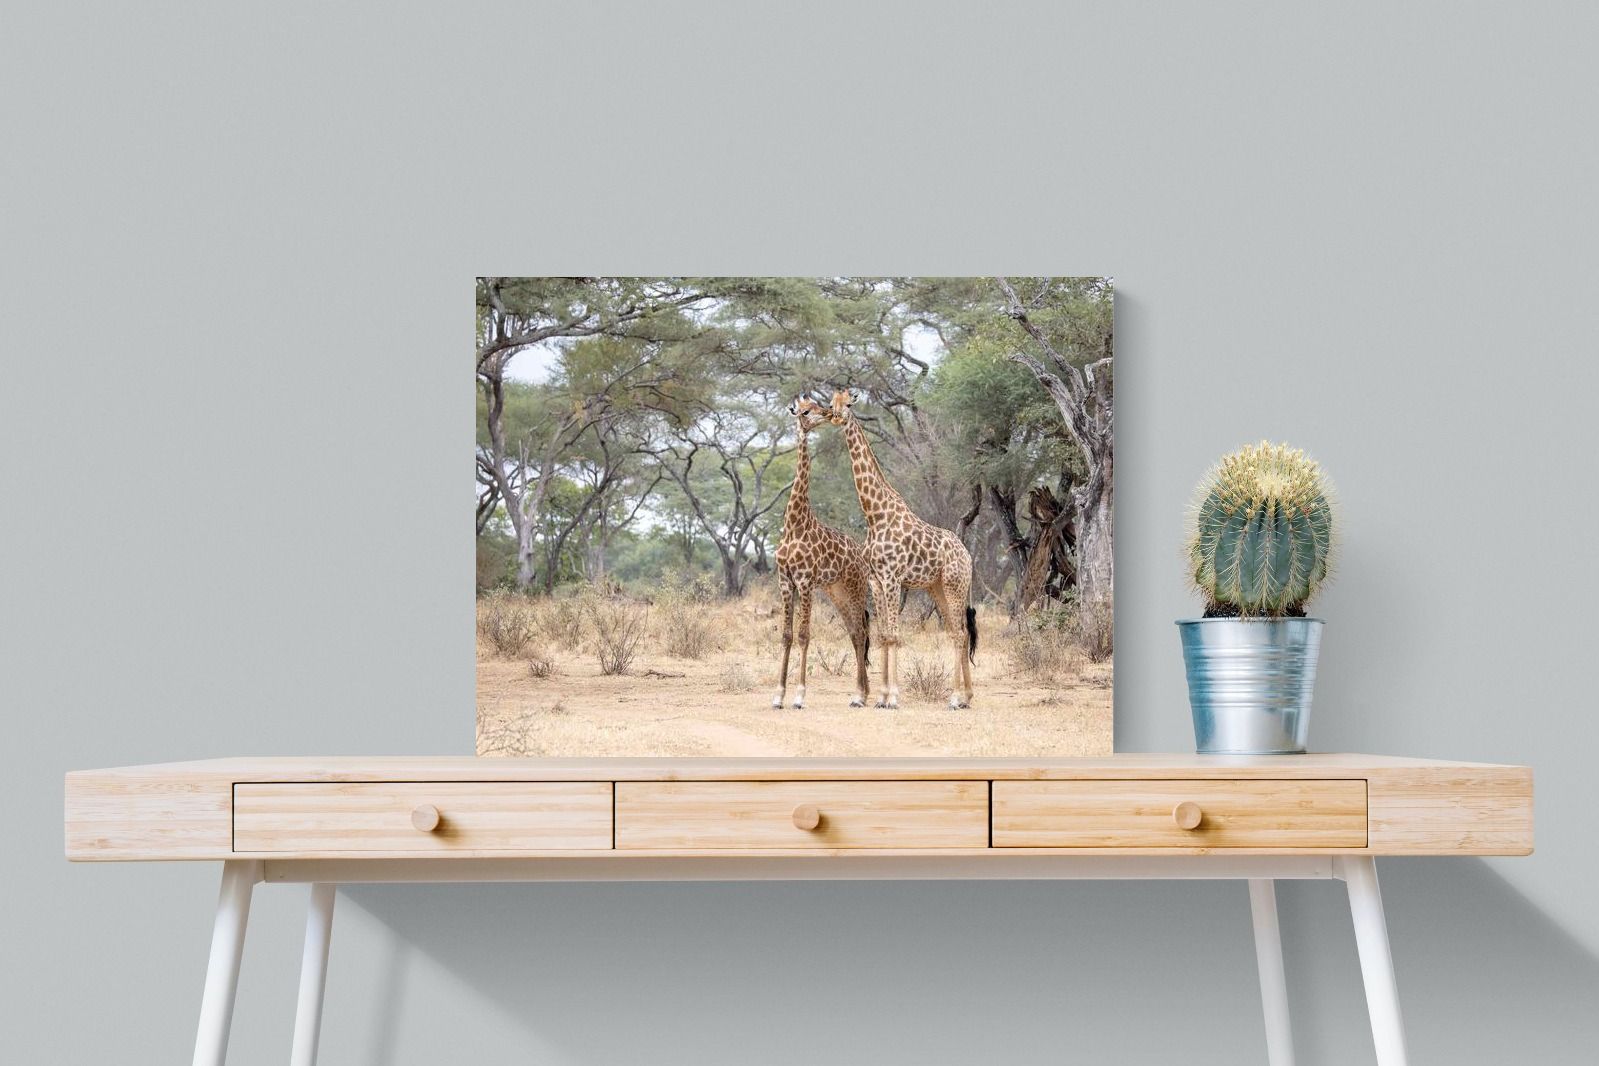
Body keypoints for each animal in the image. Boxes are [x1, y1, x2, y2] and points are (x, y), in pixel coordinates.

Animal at [771, 397, 873, 709]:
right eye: (805, 410)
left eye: (817, 405)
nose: (828, 414)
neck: (794, 525)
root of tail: (861, 556)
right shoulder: (785, 581)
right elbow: (787, 635)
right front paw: (778, 695)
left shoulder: (805, 582)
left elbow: (804, 635)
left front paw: (799, 696)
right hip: (835, 591)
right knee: (854, 632)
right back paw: (862, 693)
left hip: (855, 588)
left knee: (861, 632)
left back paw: (859, 695)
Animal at [820, 390, 976, 709]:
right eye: (831, 403)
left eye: (850, 403)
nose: (837, 416)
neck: (874, 514)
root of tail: (968, 556)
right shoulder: (876, 580)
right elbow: (883, 634)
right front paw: (880, 697)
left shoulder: (892, 577)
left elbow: (894, 634)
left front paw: (892, 698)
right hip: (937, 588)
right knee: (960, 632)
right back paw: (966, 696)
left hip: (954, 585)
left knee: (959, 633)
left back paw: (955, 698)